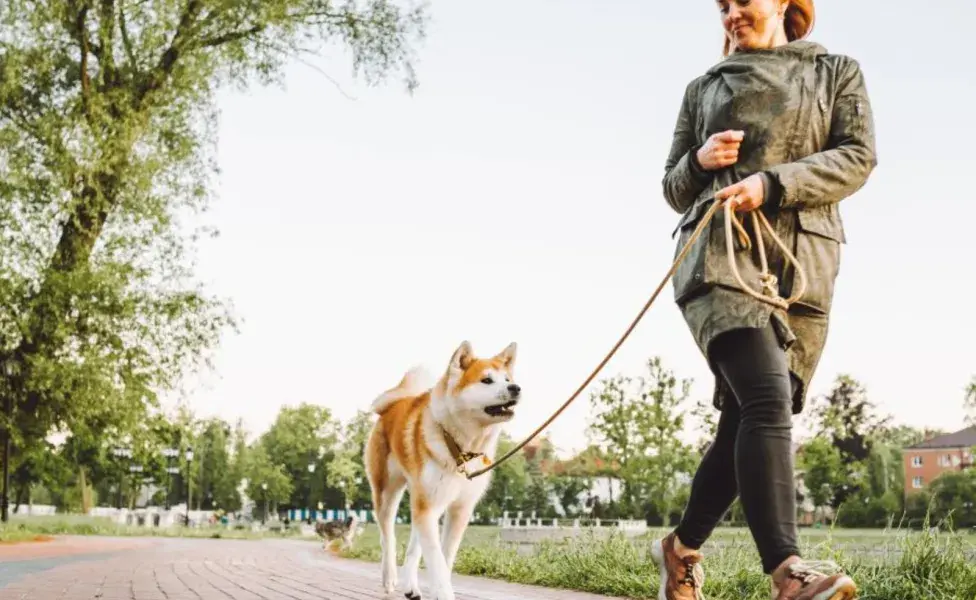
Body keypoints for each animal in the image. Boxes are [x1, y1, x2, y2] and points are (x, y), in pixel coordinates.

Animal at [364, 342, 520, 600]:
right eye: (486, 380)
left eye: (507, 379)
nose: (516, 388)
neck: (461, 448)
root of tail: (392, 405)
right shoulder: (428, 505)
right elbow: (435, 559)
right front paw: (442, 592)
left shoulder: (460, 509)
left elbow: (445, 558)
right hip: (388, 493)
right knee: (388, 538)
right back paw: (390, 578)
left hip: (424, 499)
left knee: (414, 545)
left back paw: (411, 585)